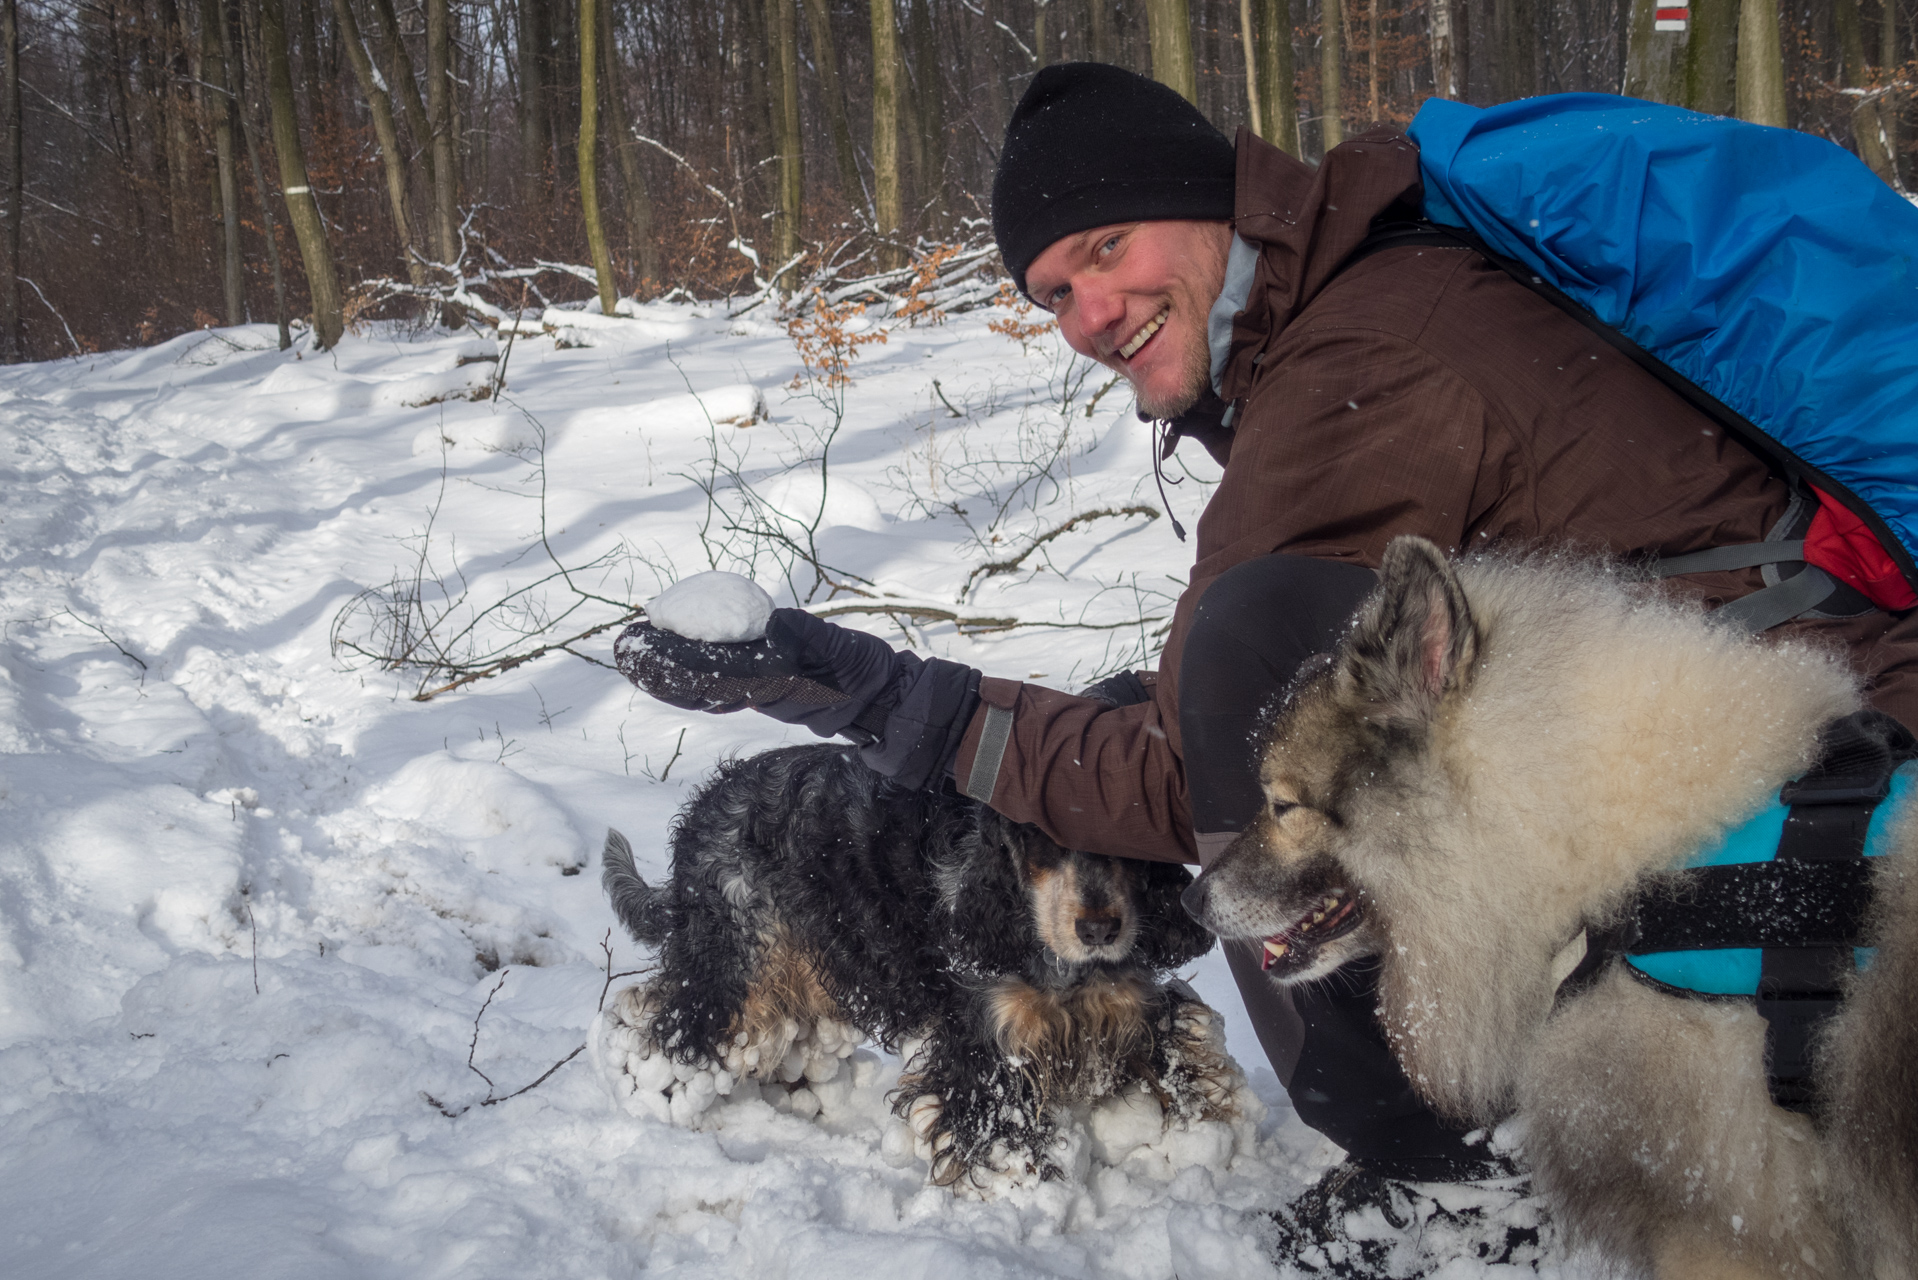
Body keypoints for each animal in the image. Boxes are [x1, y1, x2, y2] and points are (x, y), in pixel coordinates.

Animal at [594, 744, 1242, 1189]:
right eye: (1040, 835)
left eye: (1131, 833)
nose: (1100, 928)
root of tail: (706, 806)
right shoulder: (984, 1038)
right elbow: (996, 1129)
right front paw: (1023, 1196)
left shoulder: (1127, 1005)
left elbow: (1177, 1050)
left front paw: (1207, 1128)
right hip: (740, 965)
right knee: (667, 1023)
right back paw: (655, 1100)